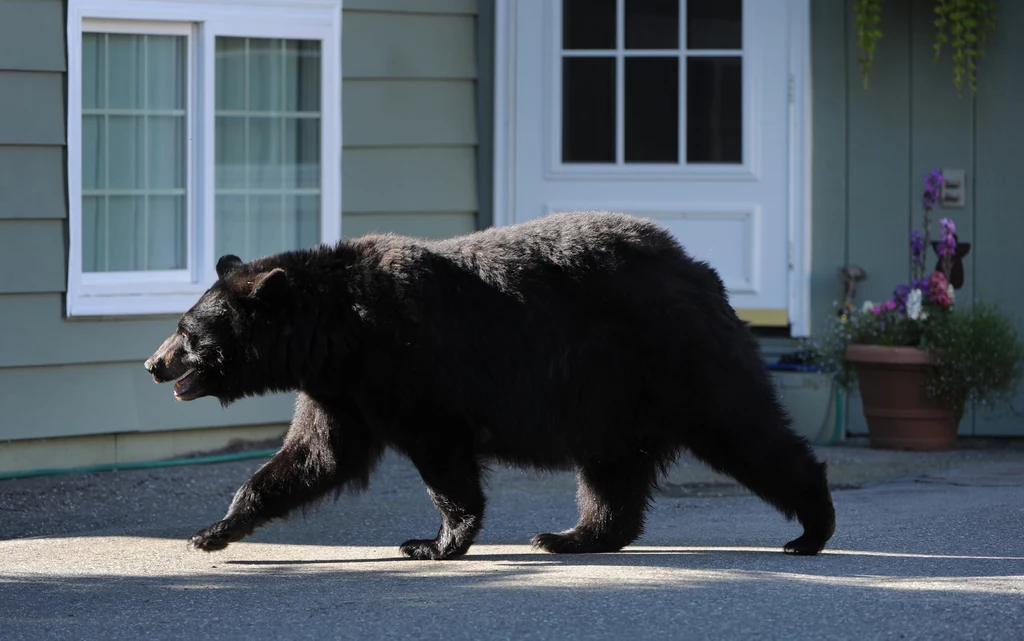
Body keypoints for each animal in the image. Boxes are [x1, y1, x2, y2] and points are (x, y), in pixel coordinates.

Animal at [142, 211, 831, 557]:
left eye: (187, 330)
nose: (154, 364)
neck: (337, 333)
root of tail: (703, 272)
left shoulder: (407, 365)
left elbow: (441, 454)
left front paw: (433, 541)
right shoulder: (340, 389)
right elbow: (313, 457)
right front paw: (211, 531)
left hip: (679, 359)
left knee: (745, 430)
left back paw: (812, 529)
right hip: (611, 395)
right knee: (612, 469)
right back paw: (572, 536)